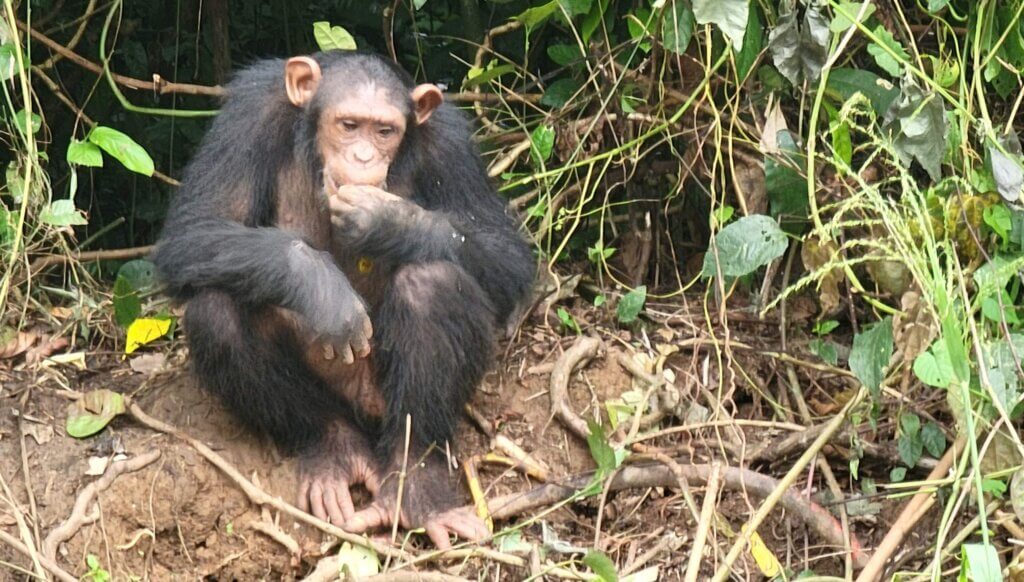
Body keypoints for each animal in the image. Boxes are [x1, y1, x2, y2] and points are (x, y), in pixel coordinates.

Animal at [154, 51, 536, 549]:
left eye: (385, 131)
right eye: (349, 125)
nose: (363, 156)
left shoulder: (452, 146)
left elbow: (507, 256)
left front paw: (389, 221)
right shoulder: (247, 116)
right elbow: (196, 228)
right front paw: (323, 289)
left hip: (383, 398)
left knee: (431, 285)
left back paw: (419, 487)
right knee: (218, 311)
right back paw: (336, 450)